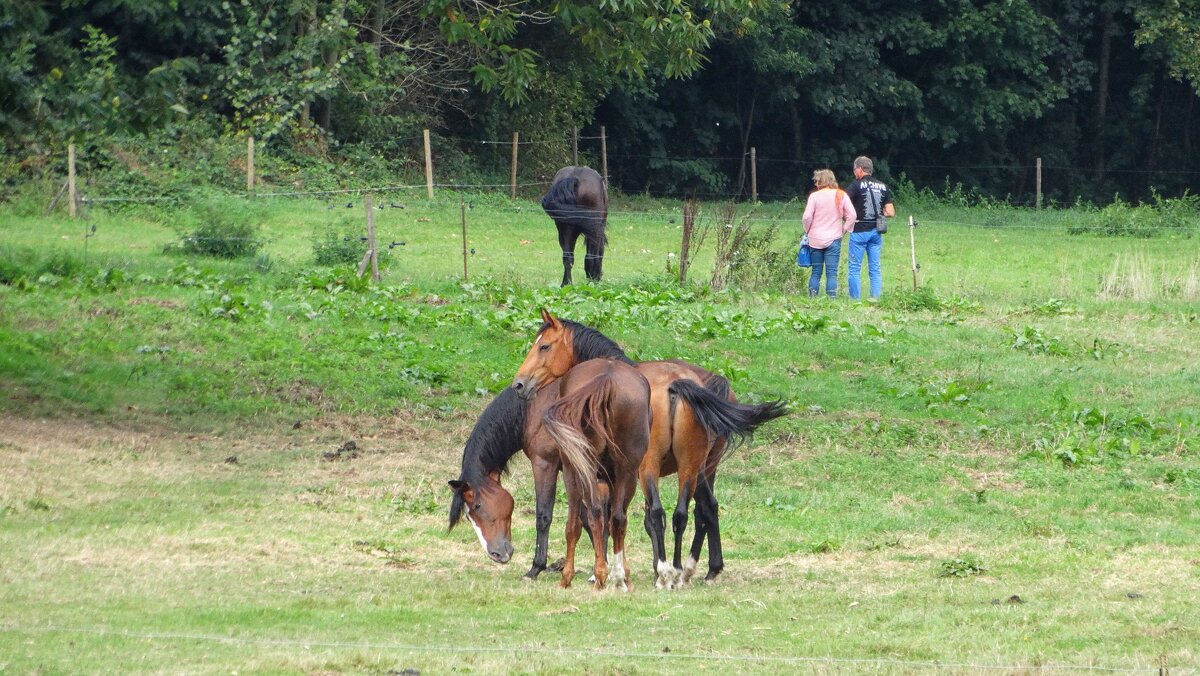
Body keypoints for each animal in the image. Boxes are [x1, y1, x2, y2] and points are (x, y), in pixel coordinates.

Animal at [544, 357, 652, 590]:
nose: (521, 385)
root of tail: (606, 379)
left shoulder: (572, 471)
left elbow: (574, 525)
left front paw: (567, 576)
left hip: (583, 470)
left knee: (597, 514)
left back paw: (602, 575)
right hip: (626, 472)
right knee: (617, 518)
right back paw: (617, 577)